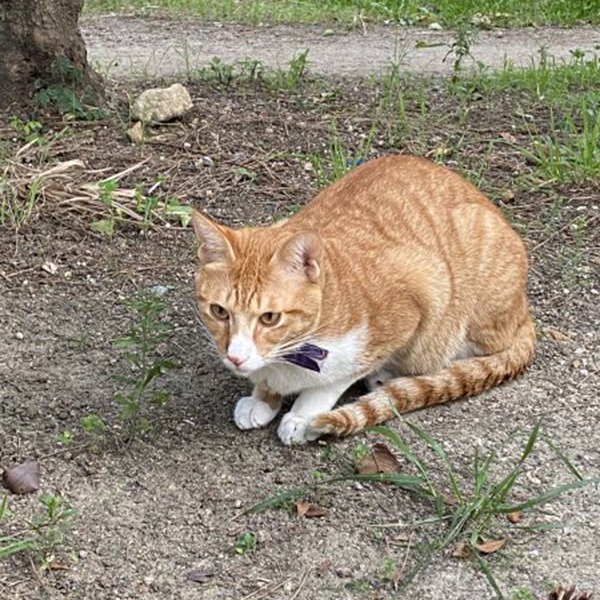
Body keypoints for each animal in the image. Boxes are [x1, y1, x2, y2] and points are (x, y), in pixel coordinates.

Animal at [191, 155, 536, 446]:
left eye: (269, 318)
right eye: (219, 311)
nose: (235, 357)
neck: (293, 351)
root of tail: (523, 311)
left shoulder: (413, 303)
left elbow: (333, 380)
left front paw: (302, 414)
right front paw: (263, 398)